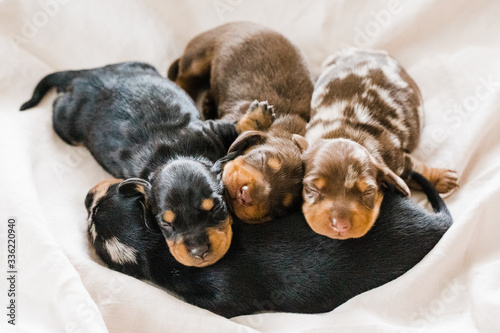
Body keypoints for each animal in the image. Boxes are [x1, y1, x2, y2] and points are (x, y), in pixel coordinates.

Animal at [20, 61, 274, 268]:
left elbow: (232, 126)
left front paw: (258, 116)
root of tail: (83, 76)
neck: (173, 156)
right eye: (164, 223)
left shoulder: (208, 131)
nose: (200, 252)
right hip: (65, 123)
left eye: (216, 207)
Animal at [302, 48, 458, 239]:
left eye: (368, 191)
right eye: (311, 188)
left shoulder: (399, 159)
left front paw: (443, 178)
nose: (340, 225)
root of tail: (365, 50)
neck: (345, 132)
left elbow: (416, 169)